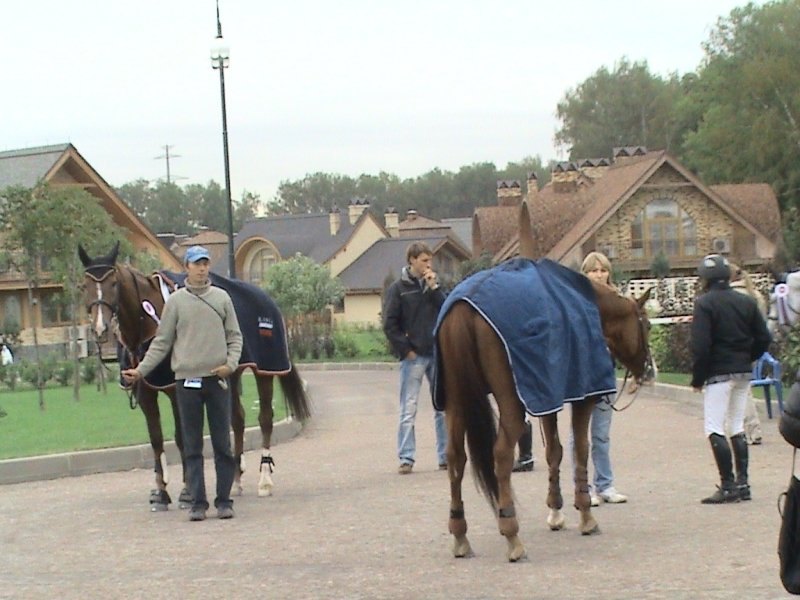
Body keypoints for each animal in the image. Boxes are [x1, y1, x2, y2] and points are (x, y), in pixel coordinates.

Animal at [438, 203, 656, 564]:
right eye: (648, 325)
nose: (649, 372)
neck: (586, 303)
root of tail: (464, 307)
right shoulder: (582, 397)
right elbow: (580, 449)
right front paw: (585, 513)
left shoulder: (547, 395)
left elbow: (554, 450)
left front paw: (556, 510)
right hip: (510, 403)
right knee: (501, 455)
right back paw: (512, 534)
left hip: (456, 402)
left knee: (455, 458)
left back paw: (459, 535)